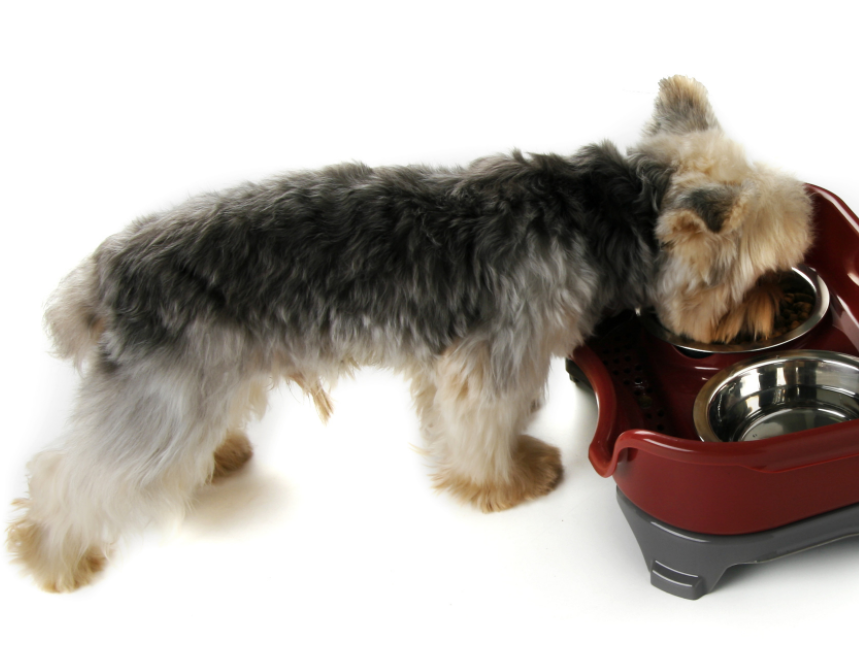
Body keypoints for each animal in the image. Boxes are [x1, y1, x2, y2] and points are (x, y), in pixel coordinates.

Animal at [5, 76, 812, 592]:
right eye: (765, 272)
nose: (783, 305)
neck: (603, 213)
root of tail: (104, 275)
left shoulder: (452, 359)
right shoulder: (495, 355)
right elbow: (484, 425)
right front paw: (507, 482)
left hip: (202, 377)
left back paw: (219, 455)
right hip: (164, 395)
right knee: (75, 474)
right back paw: (54, 555)